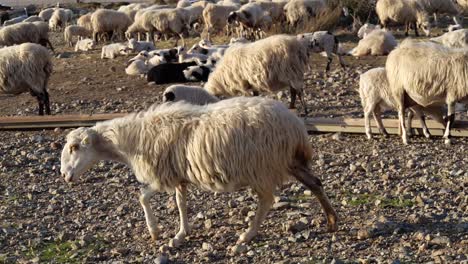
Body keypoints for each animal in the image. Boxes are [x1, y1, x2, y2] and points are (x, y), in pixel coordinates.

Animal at [60, 96, 338, 248]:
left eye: (74, 148)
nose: (65, 176)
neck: (130, 141)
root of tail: (295, 125)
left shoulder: (162, 175)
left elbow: (142, 197)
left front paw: (155, 230)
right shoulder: (178, 176)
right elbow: (181, 204)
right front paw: (180, 234)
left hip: (261, 166)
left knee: (267, 200)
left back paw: (246, 236)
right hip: (290, 161)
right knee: (315, 183)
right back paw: (332, 220)